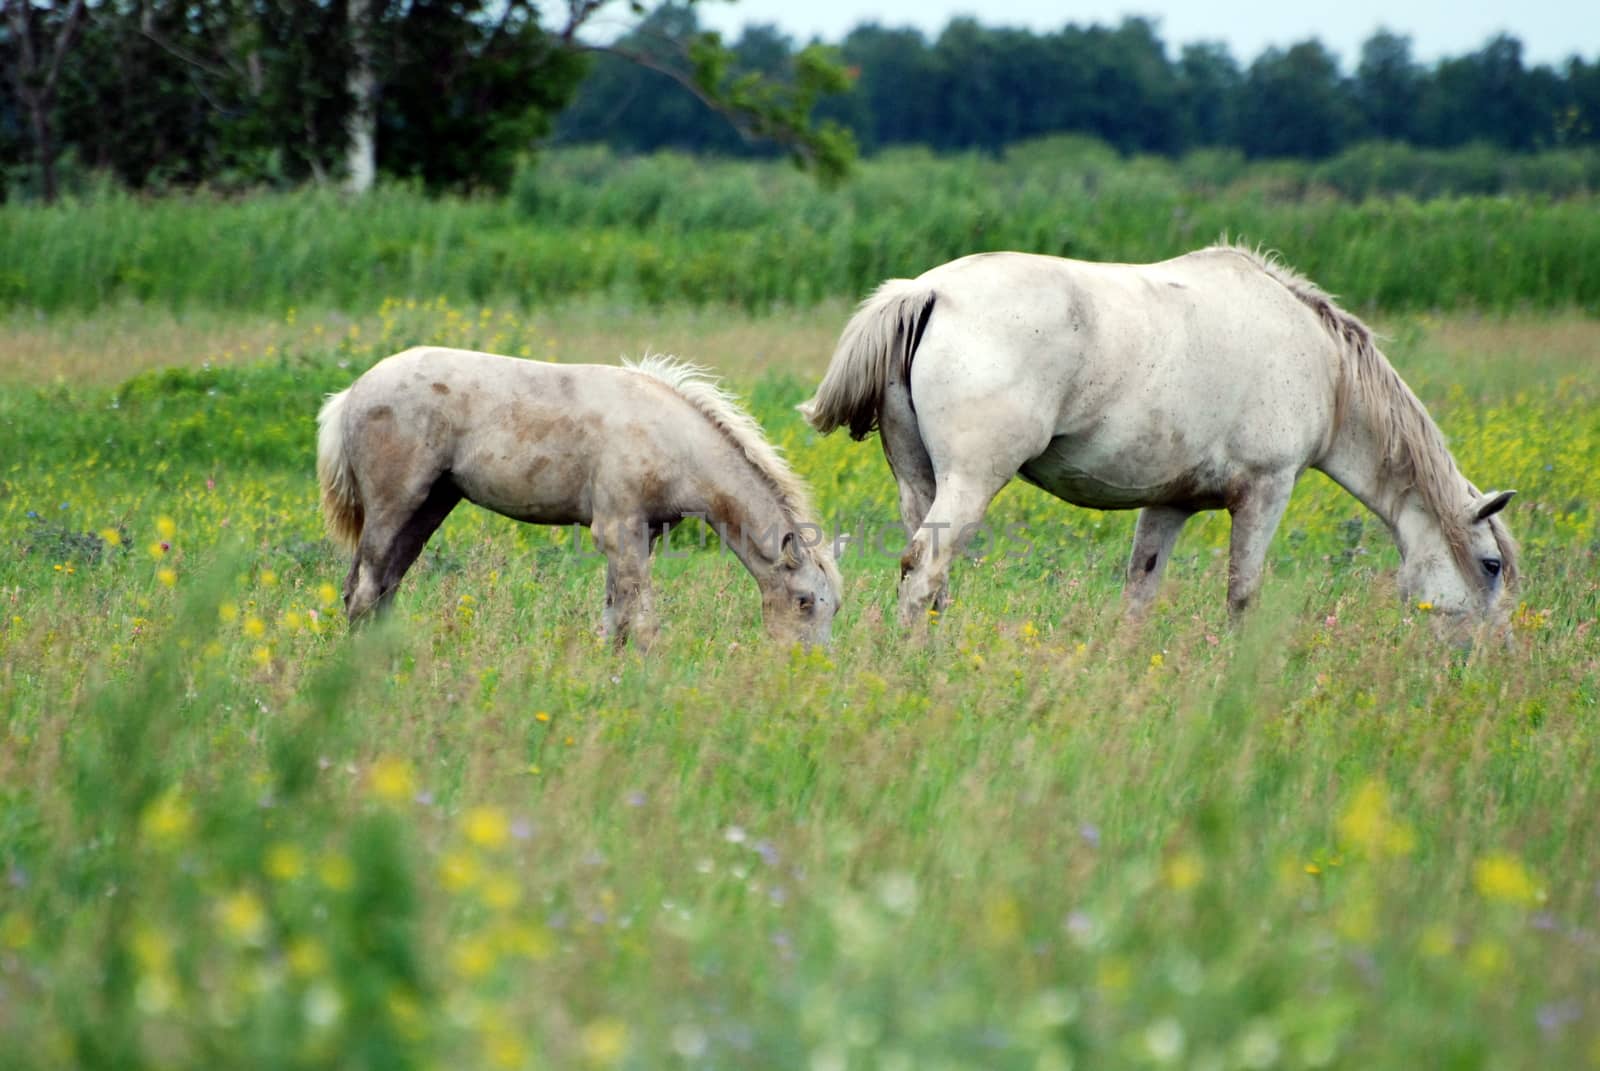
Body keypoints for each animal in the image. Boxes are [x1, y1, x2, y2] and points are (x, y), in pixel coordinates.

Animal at [310, 350, 838, 646]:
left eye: (833, 608)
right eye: (803, 602)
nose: (807, 668)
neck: (673, 440)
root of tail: (351, 392)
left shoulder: (640, 535)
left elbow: (615, 618)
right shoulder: (619, 531)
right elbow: (641, 622)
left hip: (431, 507)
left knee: (382, 587)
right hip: (395, 504)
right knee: (364, 591)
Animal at [806, 243, 1516, 633]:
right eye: (1491, 566)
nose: (1491, 655)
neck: (1324, 365)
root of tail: (927, 291)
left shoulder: (1168, 504)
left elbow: (1139, 595)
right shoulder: (1267, 491)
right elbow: (1242, 596)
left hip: (920, 485)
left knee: (928, 578)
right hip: (972, 482)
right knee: (925, 572)